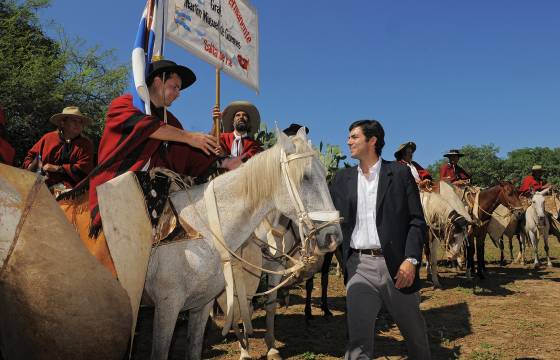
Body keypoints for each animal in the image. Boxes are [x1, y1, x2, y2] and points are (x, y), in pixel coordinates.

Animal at [142, 128, 342, 358]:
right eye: (305, 177)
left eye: (325, 176)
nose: (333, 237)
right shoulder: (168, 305)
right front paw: (245, 349)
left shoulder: (273, 267)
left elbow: (268, 305)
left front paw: (271, 347)